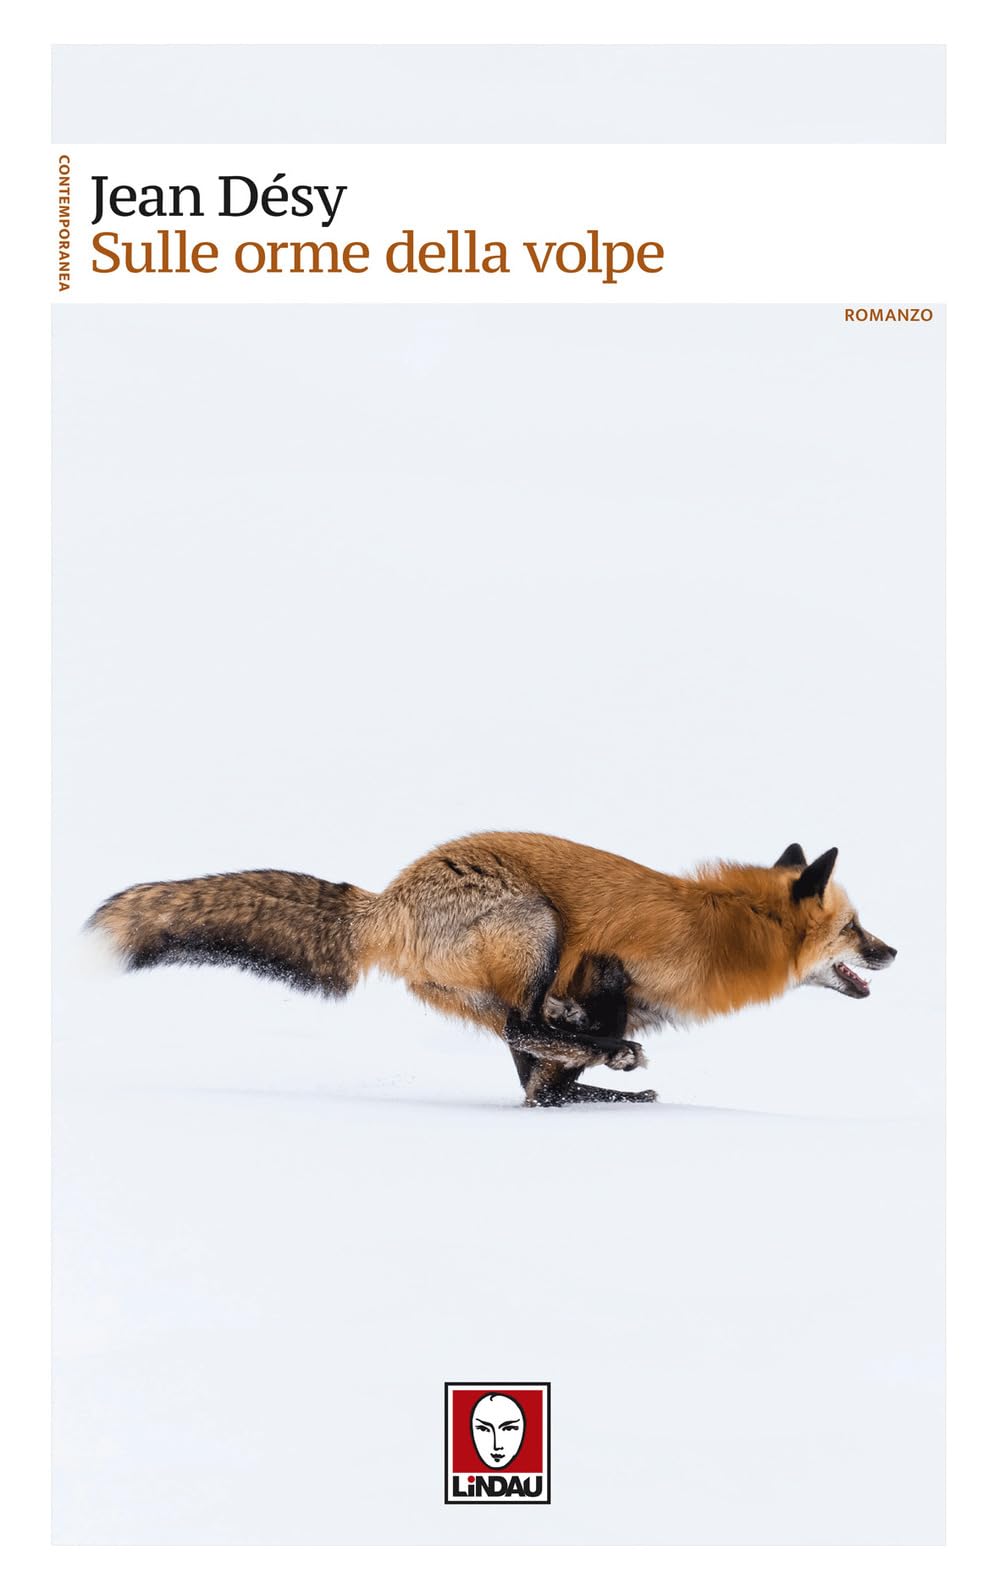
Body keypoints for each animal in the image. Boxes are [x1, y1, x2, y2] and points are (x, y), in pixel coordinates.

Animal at [88, 833, 897, 1107]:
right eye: (855, 929)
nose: (892, 953)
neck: (727, 926)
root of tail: (387, 900)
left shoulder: (598, 995)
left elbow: (545, 1080)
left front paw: (588, 1083)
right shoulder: (606, 963)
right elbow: (559, 1053)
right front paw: (610, 1061)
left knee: (525, 1051)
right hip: (538, 926)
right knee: (520, 1025)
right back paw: (615, 1067)